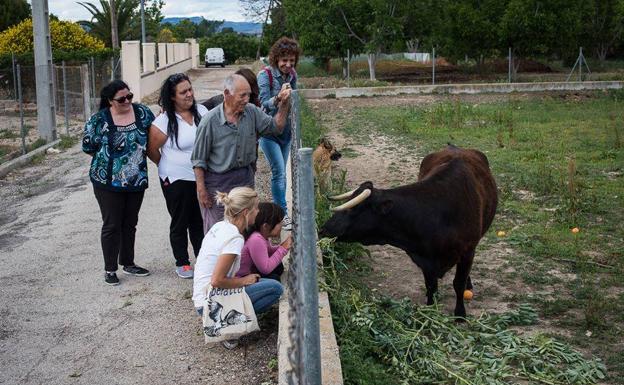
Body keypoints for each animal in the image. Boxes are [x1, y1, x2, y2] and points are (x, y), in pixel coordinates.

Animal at [316, 145, 498, 318]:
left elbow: (458, 284)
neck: (437, 214)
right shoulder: (426, 260)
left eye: (355, 209)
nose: (323, 229)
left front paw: (460, 314)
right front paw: (430, 312)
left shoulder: (467, 250)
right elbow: (431, 287)